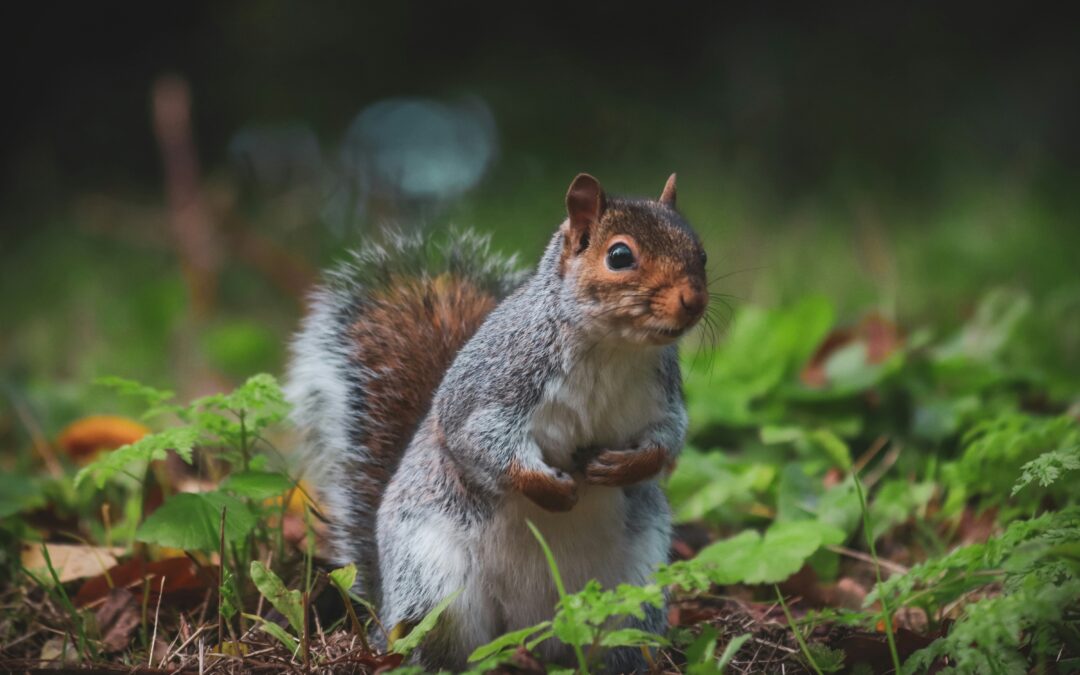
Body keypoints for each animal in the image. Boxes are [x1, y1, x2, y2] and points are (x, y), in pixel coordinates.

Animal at [285, 173, 708, 671]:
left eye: (700, 251)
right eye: (619, 256)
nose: (693, 300)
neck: (614, 346)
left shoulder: (664, 400)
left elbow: (668, 441)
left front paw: (623, 467)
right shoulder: (492, 386)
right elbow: (479, 442)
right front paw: (549, 489)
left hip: (631, 595)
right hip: (435, 589)